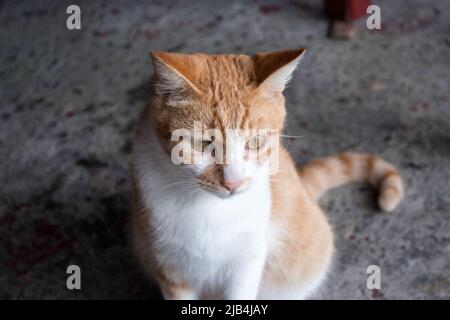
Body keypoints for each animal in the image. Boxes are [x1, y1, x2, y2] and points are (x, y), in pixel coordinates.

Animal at [131, 49, 404, 300]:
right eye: (202, 144)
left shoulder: (246, 263)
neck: (209, 209)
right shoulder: (168, 268)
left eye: (255, 142)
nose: (232, 183)